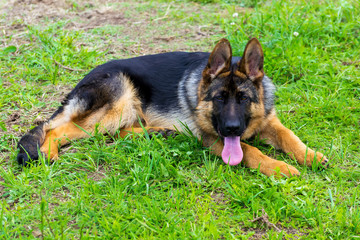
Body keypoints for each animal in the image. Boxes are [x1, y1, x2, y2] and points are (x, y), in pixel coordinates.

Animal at [16, 37, 328, 176]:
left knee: (116, 133)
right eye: (218, 99)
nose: (232, 128)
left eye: (243, 99)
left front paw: (310, 155)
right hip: (120, 100)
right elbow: (250, 150)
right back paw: (49, 151)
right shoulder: (211, 137)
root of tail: (81, 83)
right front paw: (280, 168)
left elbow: (289, 136)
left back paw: (158, 133)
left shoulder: (269, 121)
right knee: (55, 129)